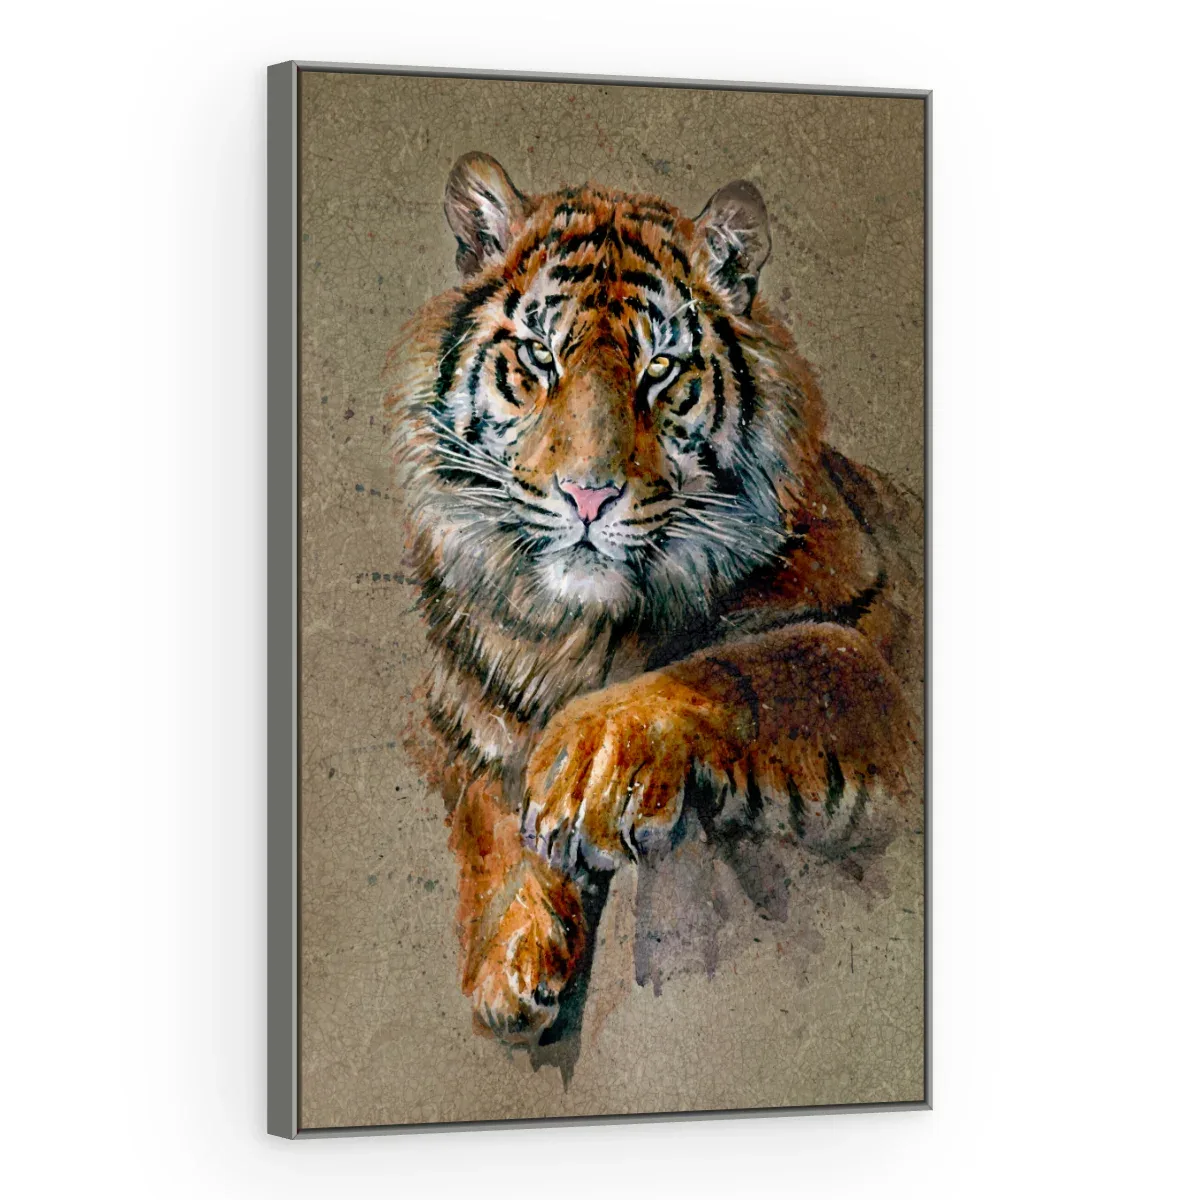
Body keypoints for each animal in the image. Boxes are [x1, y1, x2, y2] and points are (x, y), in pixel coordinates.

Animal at [383, 152, 923, 1047]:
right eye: (540, 357)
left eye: (660, 368)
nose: (588, 495)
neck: (577, 633)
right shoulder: (465, 722)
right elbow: (488, 814)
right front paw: (510, 957)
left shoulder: (866, 649)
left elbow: (753, 663)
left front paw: (590, 764)